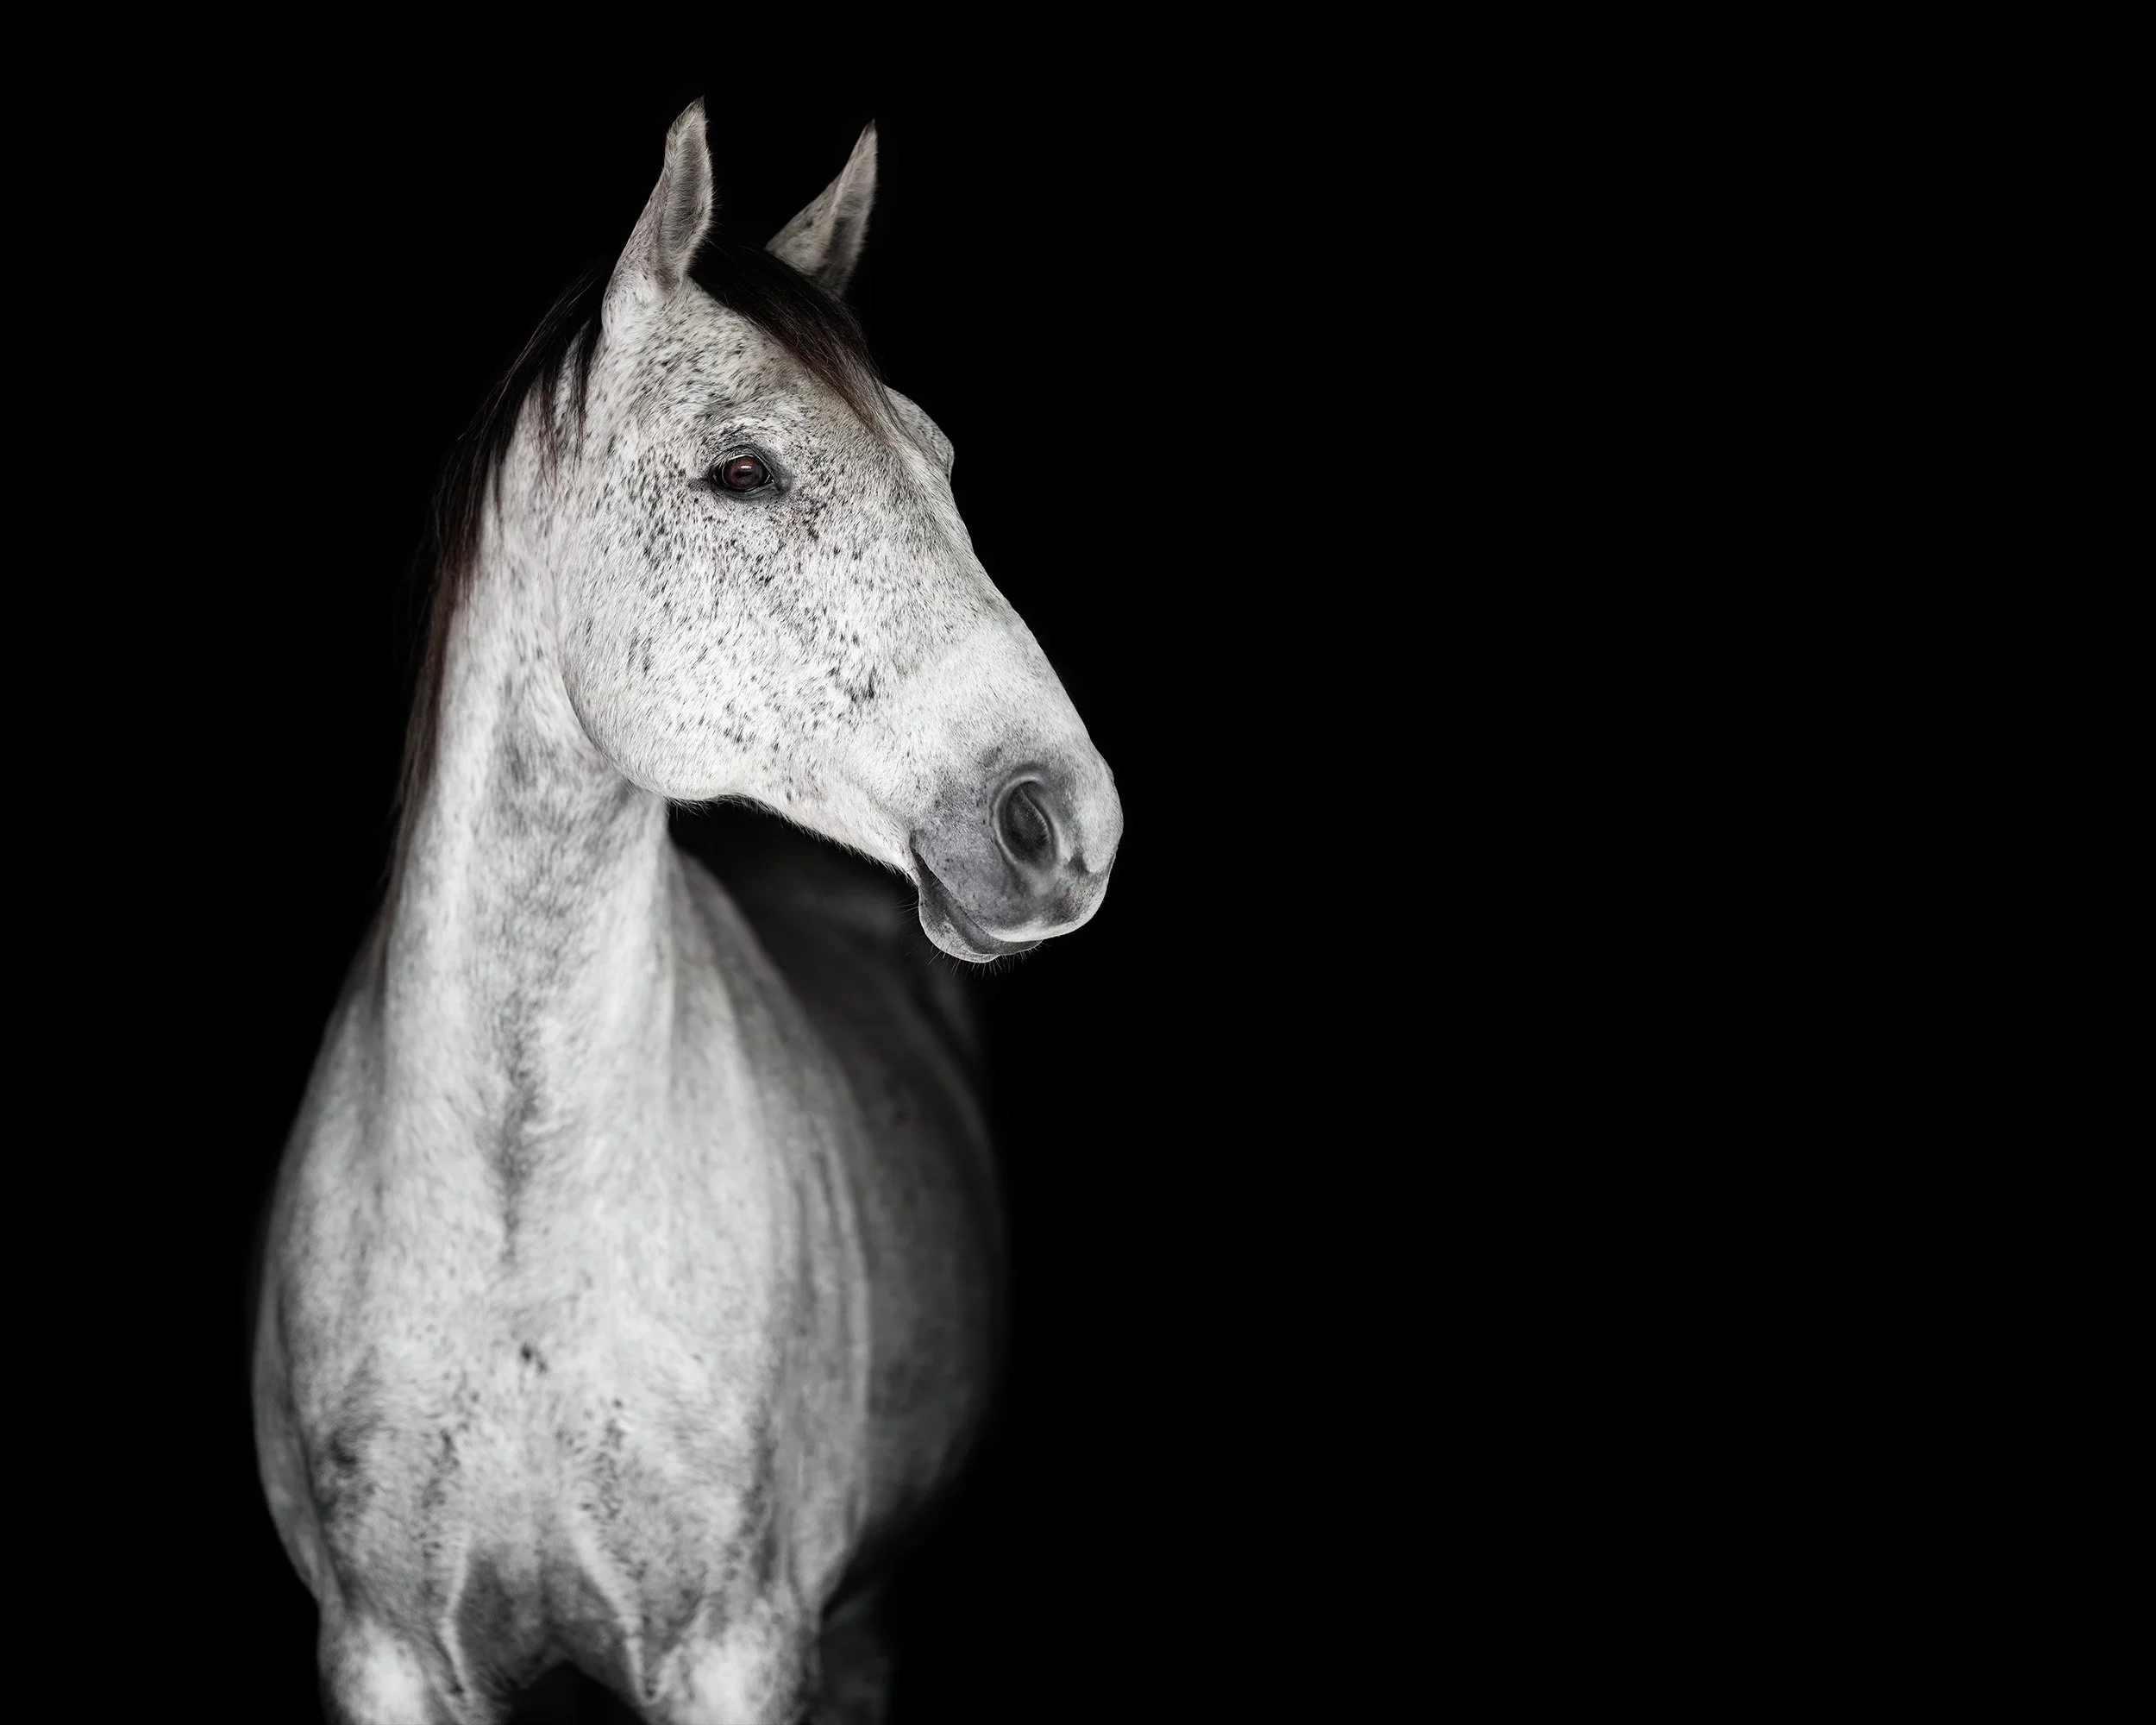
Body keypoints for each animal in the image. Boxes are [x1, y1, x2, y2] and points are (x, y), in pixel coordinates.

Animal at [252, 102, 1121, 1725]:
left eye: (940, 460)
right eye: (740, 472)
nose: (1067, 824)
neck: (519, 1216)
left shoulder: (736, 1650)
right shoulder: (386, 1654)